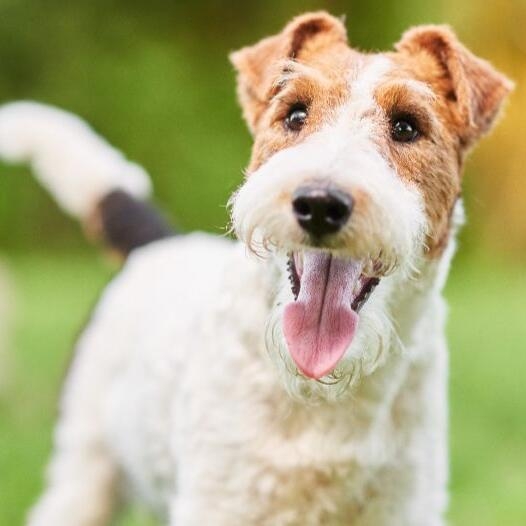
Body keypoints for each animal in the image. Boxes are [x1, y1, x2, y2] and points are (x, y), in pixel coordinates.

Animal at [0, 11, 512, 526]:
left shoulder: (406, 505)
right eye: (296, 114)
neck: (321, 392)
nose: (320, 204)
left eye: (407, 126)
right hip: (84, 468)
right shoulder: (218, 500)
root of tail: (157, 243)